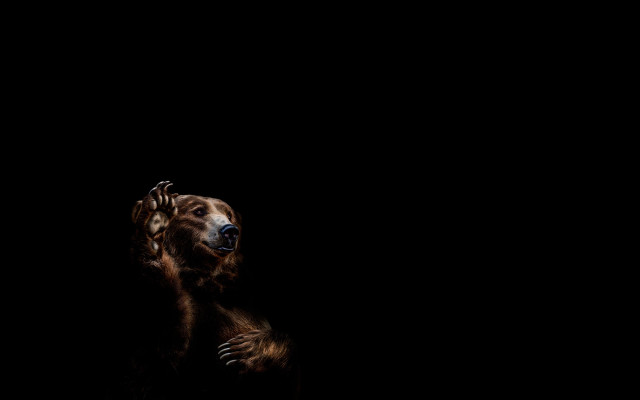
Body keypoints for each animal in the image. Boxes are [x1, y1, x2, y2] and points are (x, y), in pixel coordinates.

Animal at [112, 181, 300, 400]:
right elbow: (162, 357)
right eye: (199, 211)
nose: (230, 231)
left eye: (229, 214)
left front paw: (244, 349)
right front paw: (156, 217)